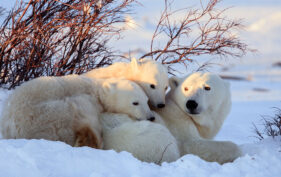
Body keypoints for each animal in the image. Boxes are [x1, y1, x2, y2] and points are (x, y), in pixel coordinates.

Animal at [0, 75, 153, 149]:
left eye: (146, 101)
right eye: (135, 102)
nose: (151, 117)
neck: (96, 89)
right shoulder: (87, 98)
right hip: (47, 116)